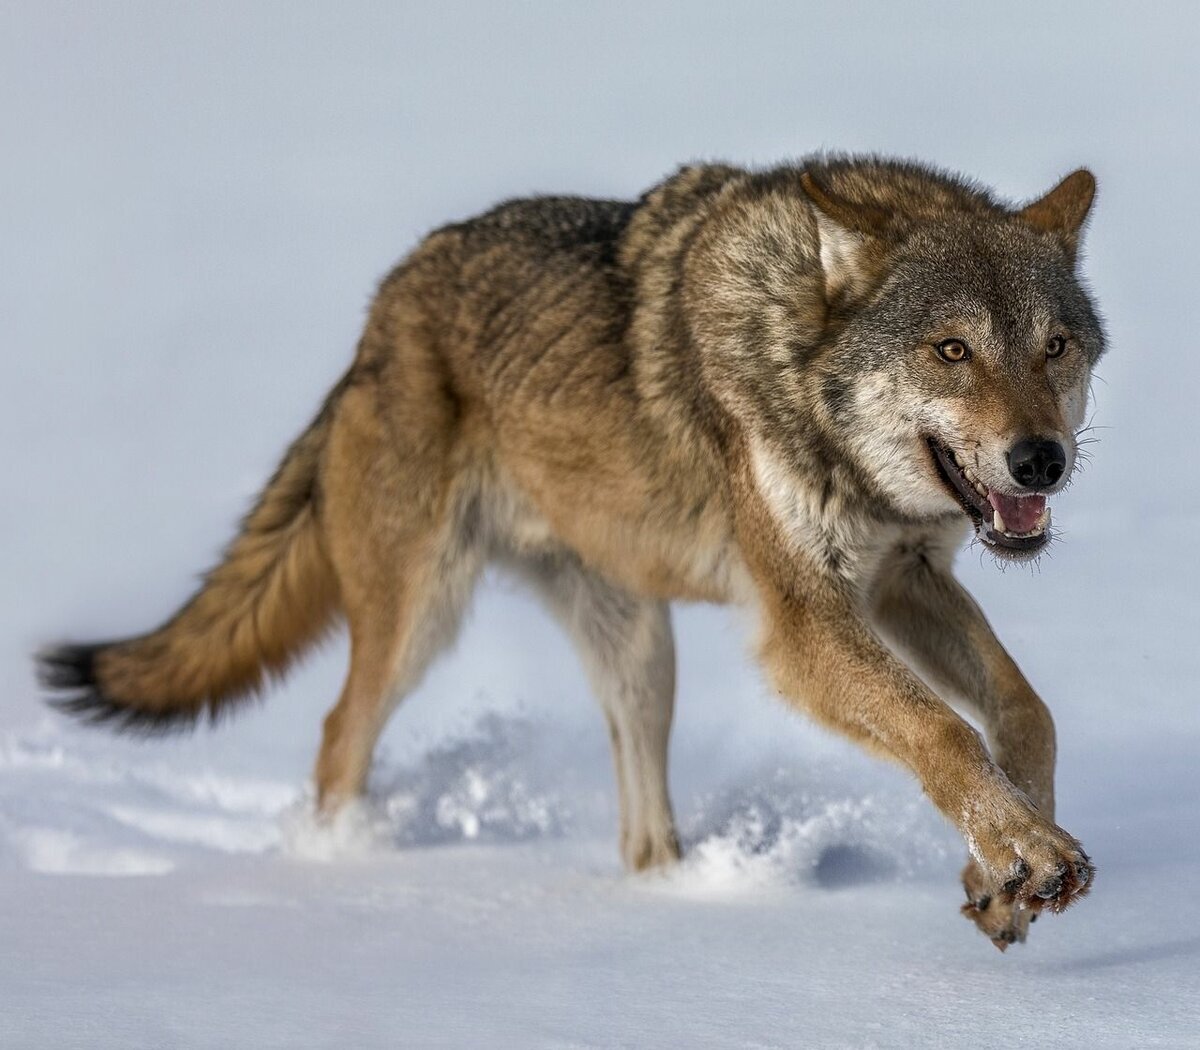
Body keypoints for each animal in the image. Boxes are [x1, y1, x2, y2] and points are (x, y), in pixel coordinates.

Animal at [37, 158, 1104, 950]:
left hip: (640, 654)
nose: (1041, 460)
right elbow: (941, 730)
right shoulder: (805, 623)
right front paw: (1027, 851)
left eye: (1054, 346)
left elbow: (1026, 710)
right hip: (421, 621)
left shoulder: (903, 581)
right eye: (952, 350)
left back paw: (670, 897)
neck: (799, 363)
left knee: (640, 827)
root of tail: (377, 319)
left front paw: (1004, 869)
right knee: (340, 732)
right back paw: (342, 868)